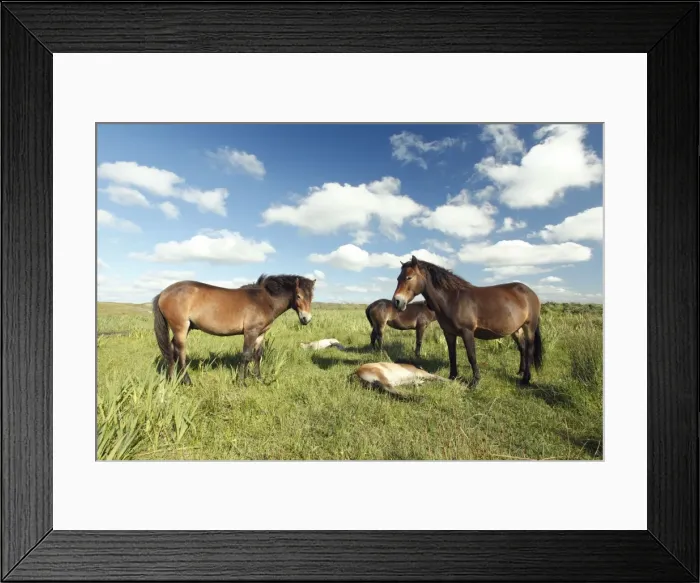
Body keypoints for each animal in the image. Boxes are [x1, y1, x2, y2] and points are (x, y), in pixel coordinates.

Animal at [152, 274, 316, 383]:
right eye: (299, 296)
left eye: (312, 296)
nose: (306, 319)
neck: (264, 300)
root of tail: (164, 293)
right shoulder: (250, 332)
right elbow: (246, 356)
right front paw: (241, 382)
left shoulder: (260, 334)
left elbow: (257, 356)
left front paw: (259, 379)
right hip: (180, 328)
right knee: (180, 353)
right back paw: (187, 381)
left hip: (184, 329)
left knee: (171, 350)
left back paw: (172, 379)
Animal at [391, 256, 543, 387]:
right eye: (398, 278)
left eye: (409, 277)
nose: (397, 302)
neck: (452, 299)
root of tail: (530, 292)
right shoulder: (449, 333)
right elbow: (452, 355)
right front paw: (452, 377)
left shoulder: (467, 332)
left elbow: (471, 356)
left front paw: (475, 382)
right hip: (516, 329)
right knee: (522, 348)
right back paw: (520, 372)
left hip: (529, 327)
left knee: (529, 349)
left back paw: (525, 379)